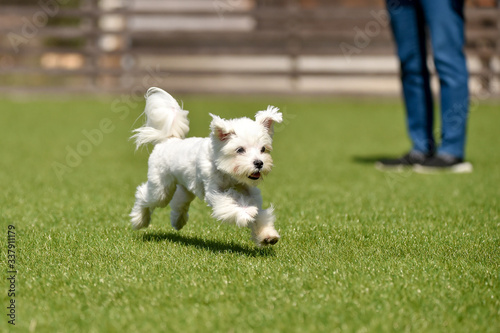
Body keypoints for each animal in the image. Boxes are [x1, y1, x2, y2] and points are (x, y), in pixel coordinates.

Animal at [129, 87, 284, 245]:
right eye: (240, 150)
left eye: (263, 149)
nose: (259, 163)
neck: (229, 174)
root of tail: (168, 140)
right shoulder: (215, 191)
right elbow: (228, 204)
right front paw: (247, 211)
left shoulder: (250, 191)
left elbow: (260, 214)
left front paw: (267, 235)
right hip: (161, 187)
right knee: (144, 195)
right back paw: (139, 220)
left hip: (186, 186)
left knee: (179, 201)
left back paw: (178, 221)